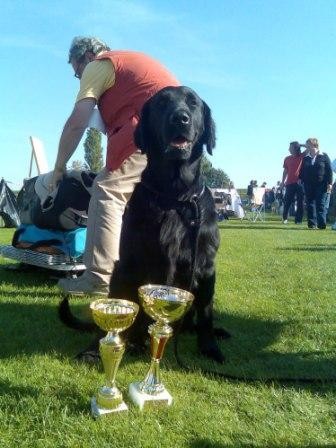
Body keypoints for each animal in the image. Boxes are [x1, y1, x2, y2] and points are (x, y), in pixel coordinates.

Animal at [60, 86, 228, 364]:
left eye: (193, 103)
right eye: (161, 103)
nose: (180, 118)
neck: (174, 194)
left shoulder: (205, 265)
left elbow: (206, 312)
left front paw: (210, 348)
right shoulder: (129, 261)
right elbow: (118, 309)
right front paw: (93, 350)